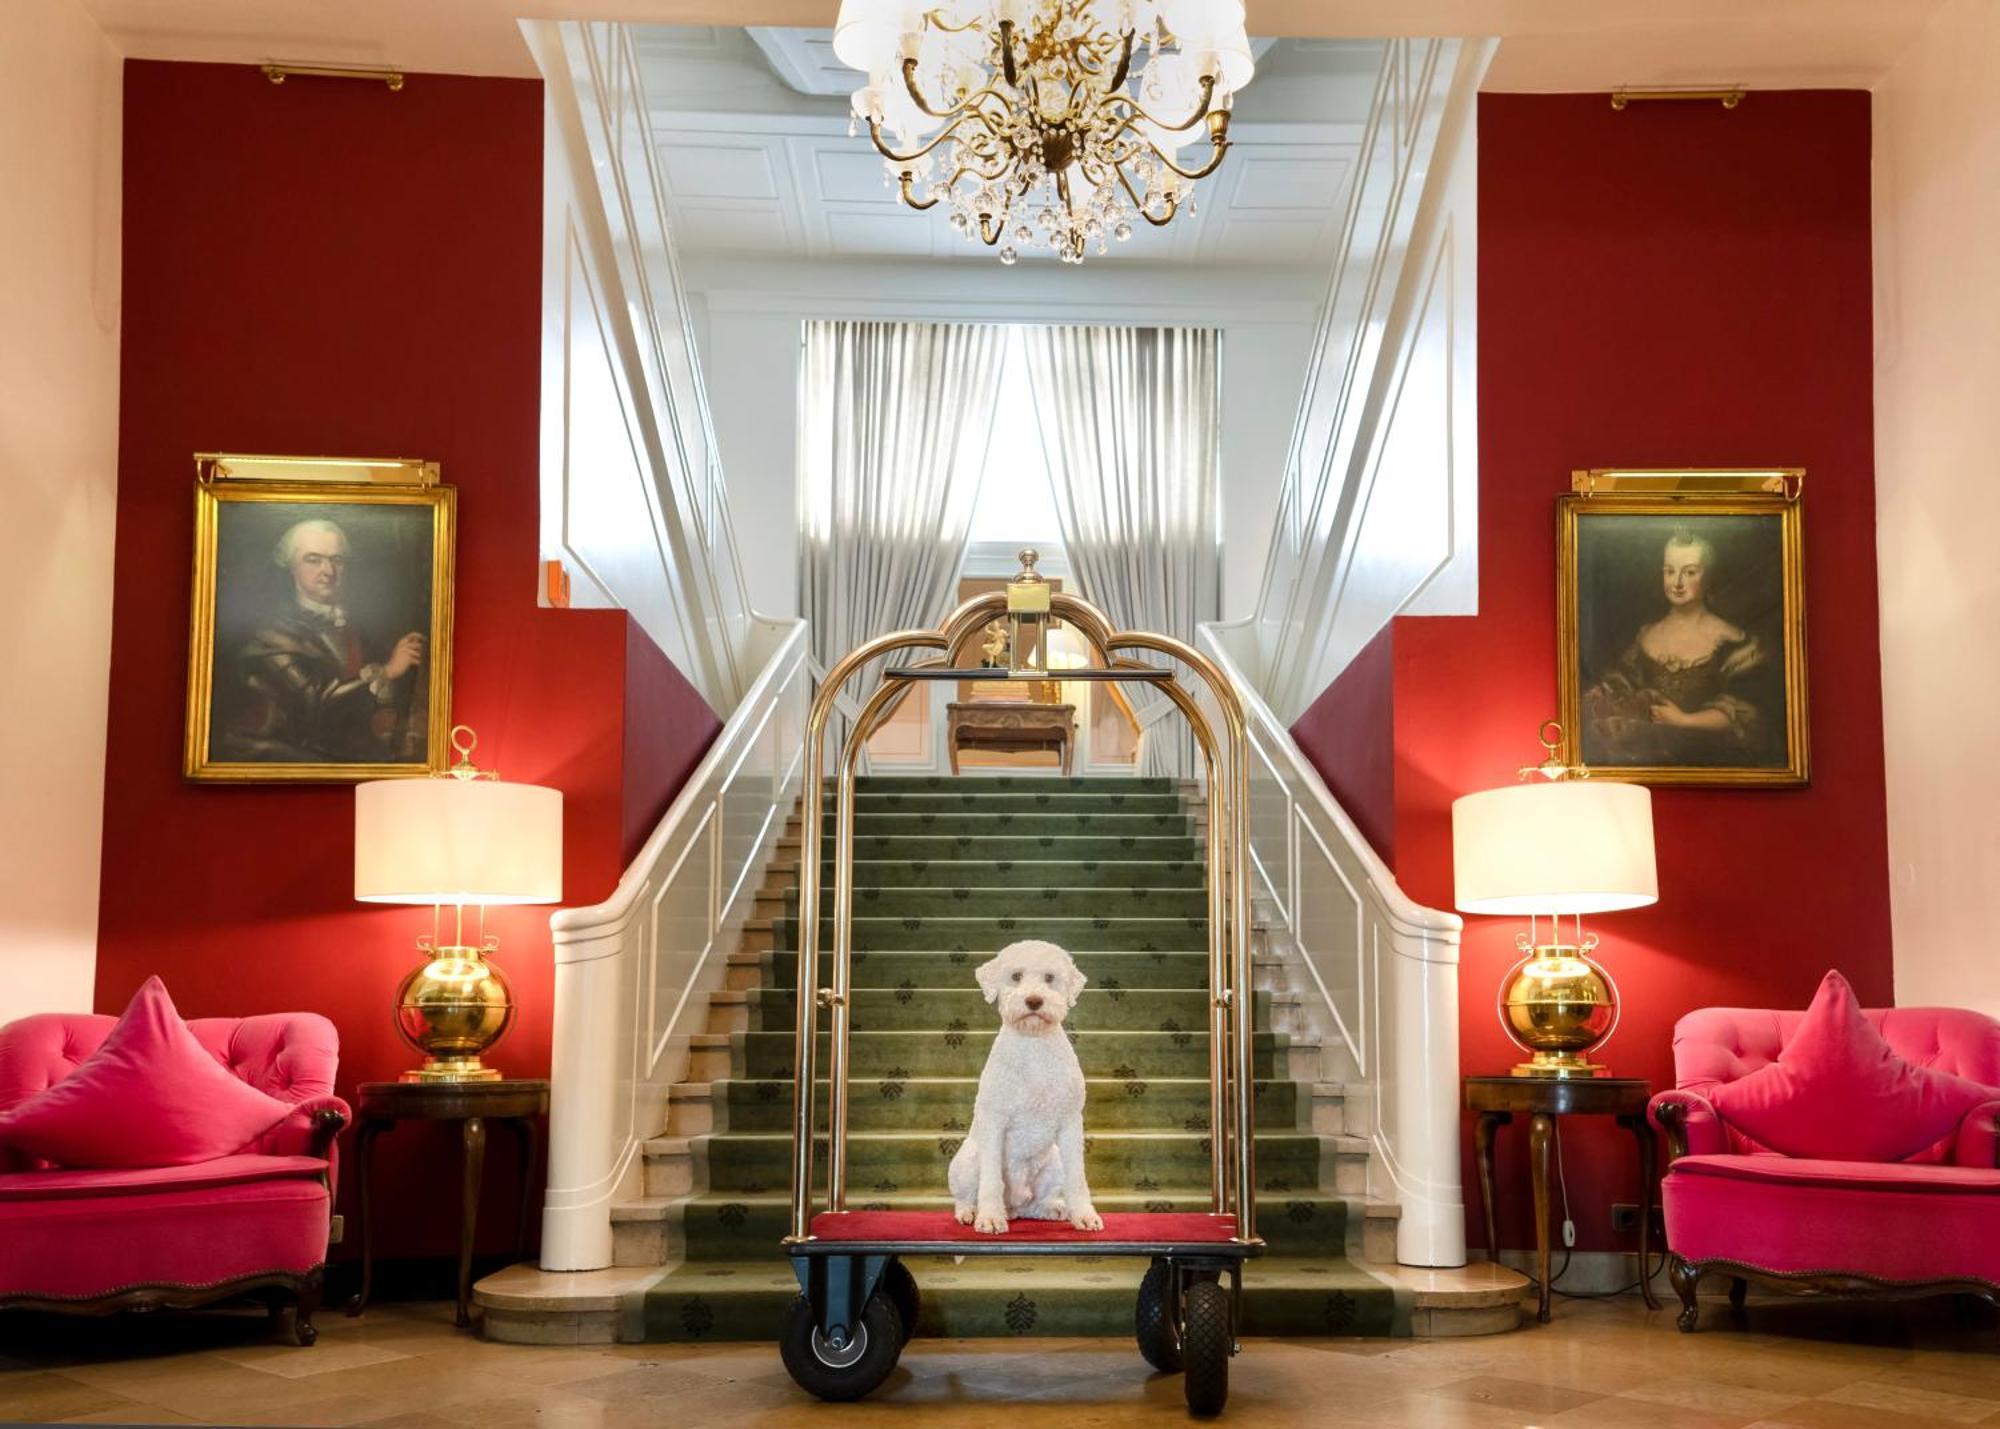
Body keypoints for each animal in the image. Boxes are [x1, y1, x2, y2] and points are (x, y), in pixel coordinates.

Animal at [944, 940, 1104, 1232]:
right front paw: (990, 1219)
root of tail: (1015, 1207)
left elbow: (1078, 1179)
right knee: (965, 1197)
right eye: (1016, 976)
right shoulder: (994, 1122)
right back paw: (972, 1213)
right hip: (967, 1160)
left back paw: (1053, 1209)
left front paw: (1085, 1215)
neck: (1033, 1044)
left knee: (1037, 1203)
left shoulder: (1070, 1124)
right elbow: (991, 1180)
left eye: (1050, 977)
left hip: (1054, 1162)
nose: (1034, 1001)